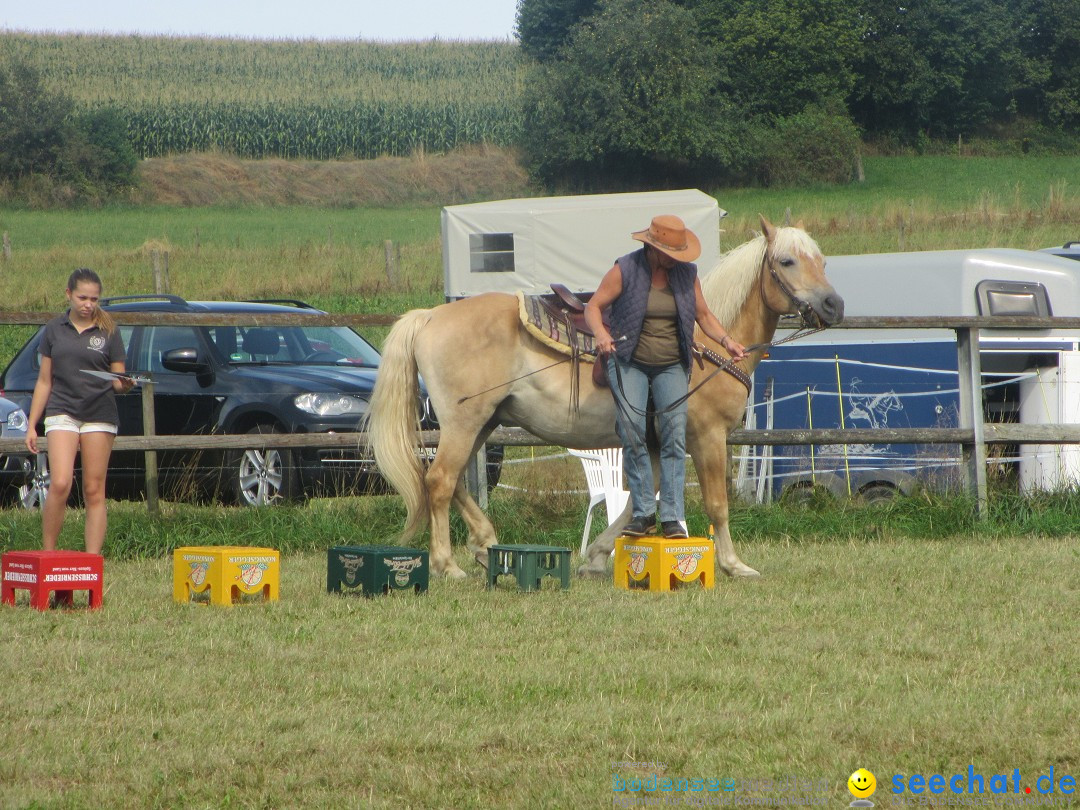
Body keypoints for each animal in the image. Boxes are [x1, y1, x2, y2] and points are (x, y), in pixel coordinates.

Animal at [369, 219, 842, 578]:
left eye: (822, 261)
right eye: (787, 261)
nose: (833, 305)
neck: (705, 343)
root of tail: (431, 316)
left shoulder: (656, 438)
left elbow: (639, 500)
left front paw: (597, 556)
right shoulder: (706, 437)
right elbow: (715, 504)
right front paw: (732, 564)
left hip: (482, 422)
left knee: (451, 481)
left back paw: (486, 544)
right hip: (465, 422)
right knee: (439, 481)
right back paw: (447, 565)